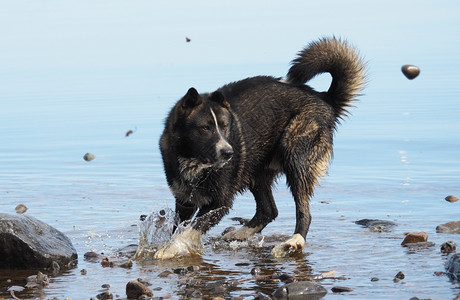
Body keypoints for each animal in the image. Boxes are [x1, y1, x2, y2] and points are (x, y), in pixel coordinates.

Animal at [156, 37, 364, 258]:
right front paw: (172, 244)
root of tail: (324, 98)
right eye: (205, 128)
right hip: (258, 171)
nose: (229, 153)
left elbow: (192, 227)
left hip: (295, 155)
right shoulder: (184, 200)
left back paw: (294, 241)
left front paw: (171, 248)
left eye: (225, 126)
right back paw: (241, 233)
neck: (194, 160)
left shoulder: (220, 202)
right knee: (268, 210)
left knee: (303, 211)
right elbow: (180, 225)